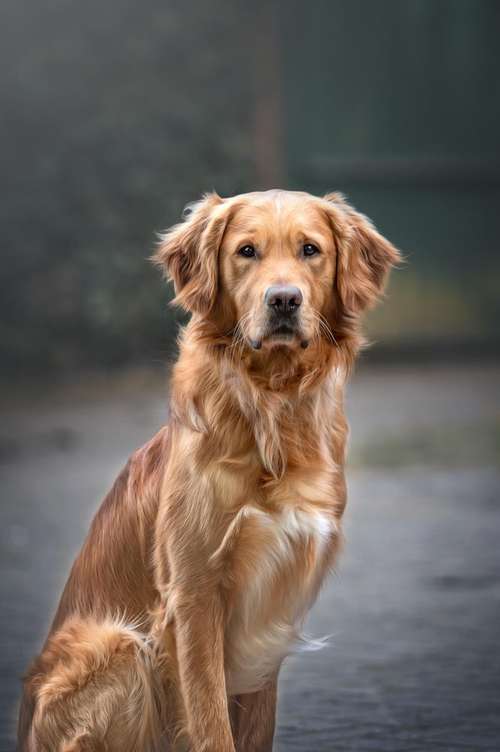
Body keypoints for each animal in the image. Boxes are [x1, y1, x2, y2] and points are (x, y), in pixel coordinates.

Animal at [19, 189, 400, 752]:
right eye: (246, 251)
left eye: (310, 250)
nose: (283, 300)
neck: (271, 405)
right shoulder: (193, 594)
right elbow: (209, 721)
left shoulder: (273, 609)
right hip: (119, 645)